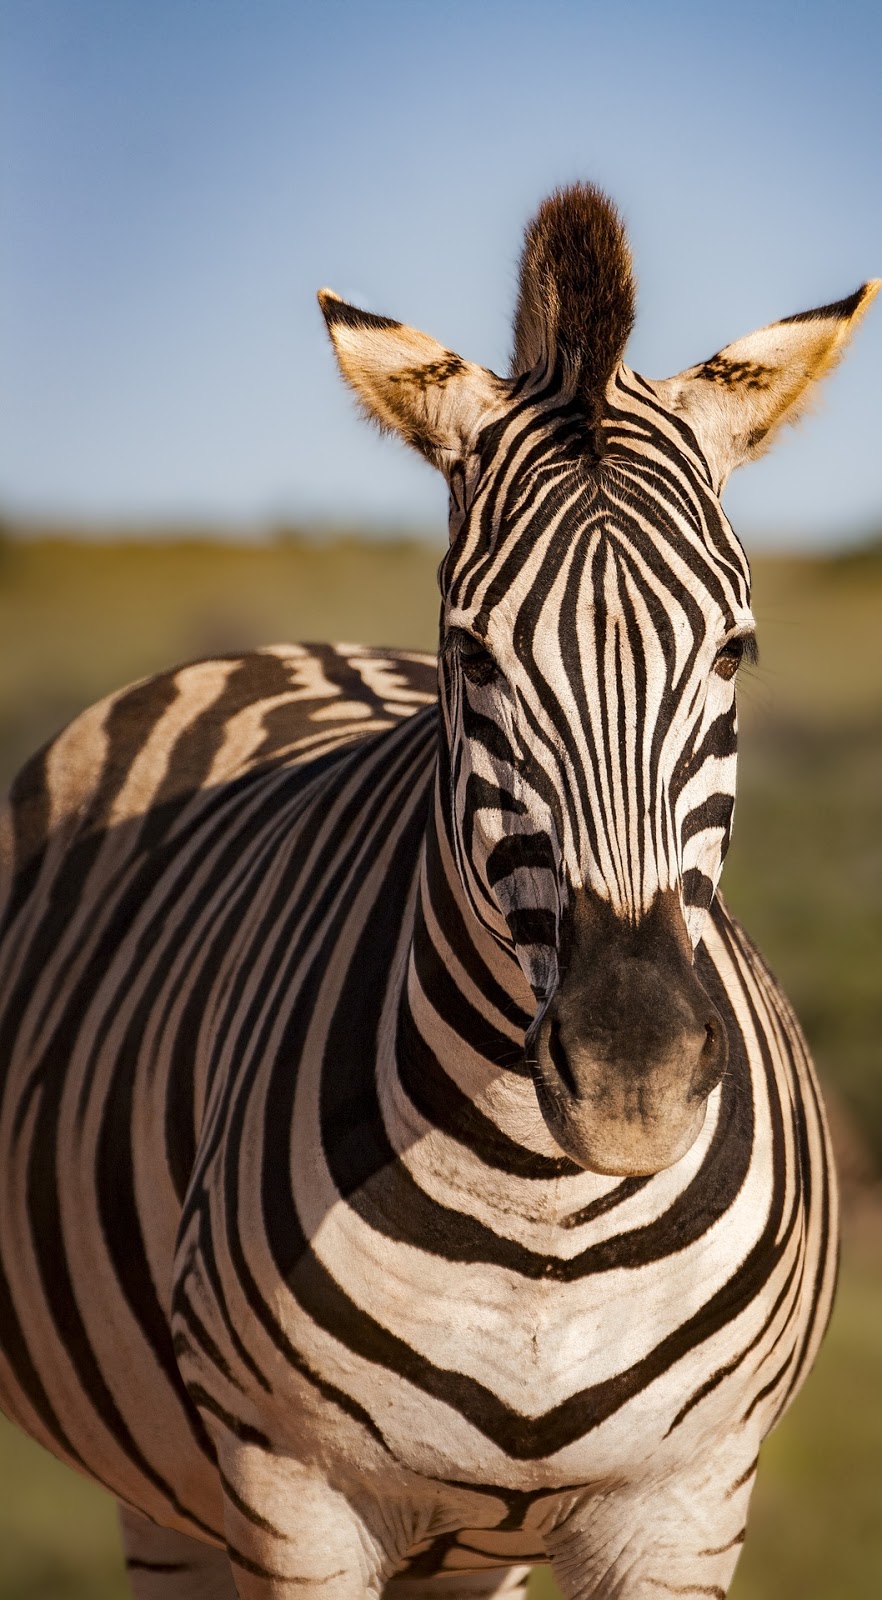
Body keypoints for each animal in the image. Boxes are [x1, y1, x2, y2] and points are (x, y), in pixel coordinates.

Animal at [0, 187, 870, 1600]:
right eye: (473, 653)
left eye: (737, 649)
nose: (631, 1077)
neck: (545, 1215)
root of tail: (291, 647)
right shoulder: (293, 1496)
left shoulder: (685, 1502)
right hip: (172, 1500)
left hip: (469, 1549)